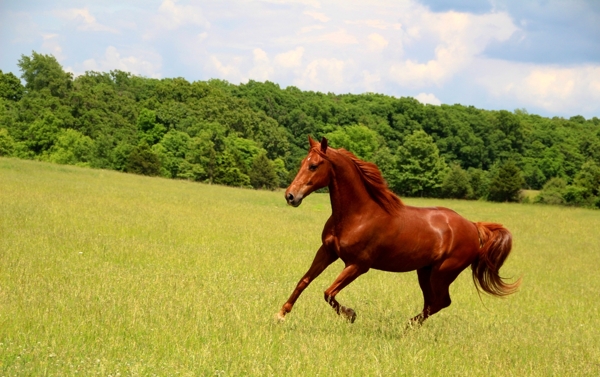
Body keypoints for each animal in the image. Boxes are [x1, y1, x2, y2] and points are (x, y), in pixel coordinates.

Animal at [276, 135, 520, 324]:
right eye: (302, 162)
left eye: (314, 165)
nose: (290, 196)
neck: (358, 214)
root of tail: (473, 226)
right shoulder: (327, 252)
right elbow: (304, 281)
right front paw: (281, 314)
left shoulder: (358, 265)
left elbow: (328, 292)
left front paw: (351, 314)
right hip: (425, 272)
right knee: (433, 302)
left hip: (443, 273)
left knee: (441, 302)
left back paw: (407, 326)